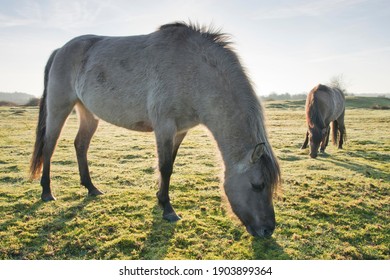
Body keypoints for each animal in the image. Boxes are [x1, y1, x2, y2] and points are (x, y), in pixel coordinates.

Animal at [30, 21, 280, 237]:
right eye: (257, 185)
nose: (268, 230)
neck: (193, 71)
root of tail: (60, 50)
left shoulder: (180, 131)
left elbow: (170, 164)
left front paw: (160, 198)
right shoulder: (164, 128)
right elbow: (165, 167)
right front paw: (168, 210)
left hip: (88, 114)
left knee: (80, 145)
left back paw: (91, 188)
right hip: (59, 108)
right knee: (49, 146)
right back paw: (47, 192)